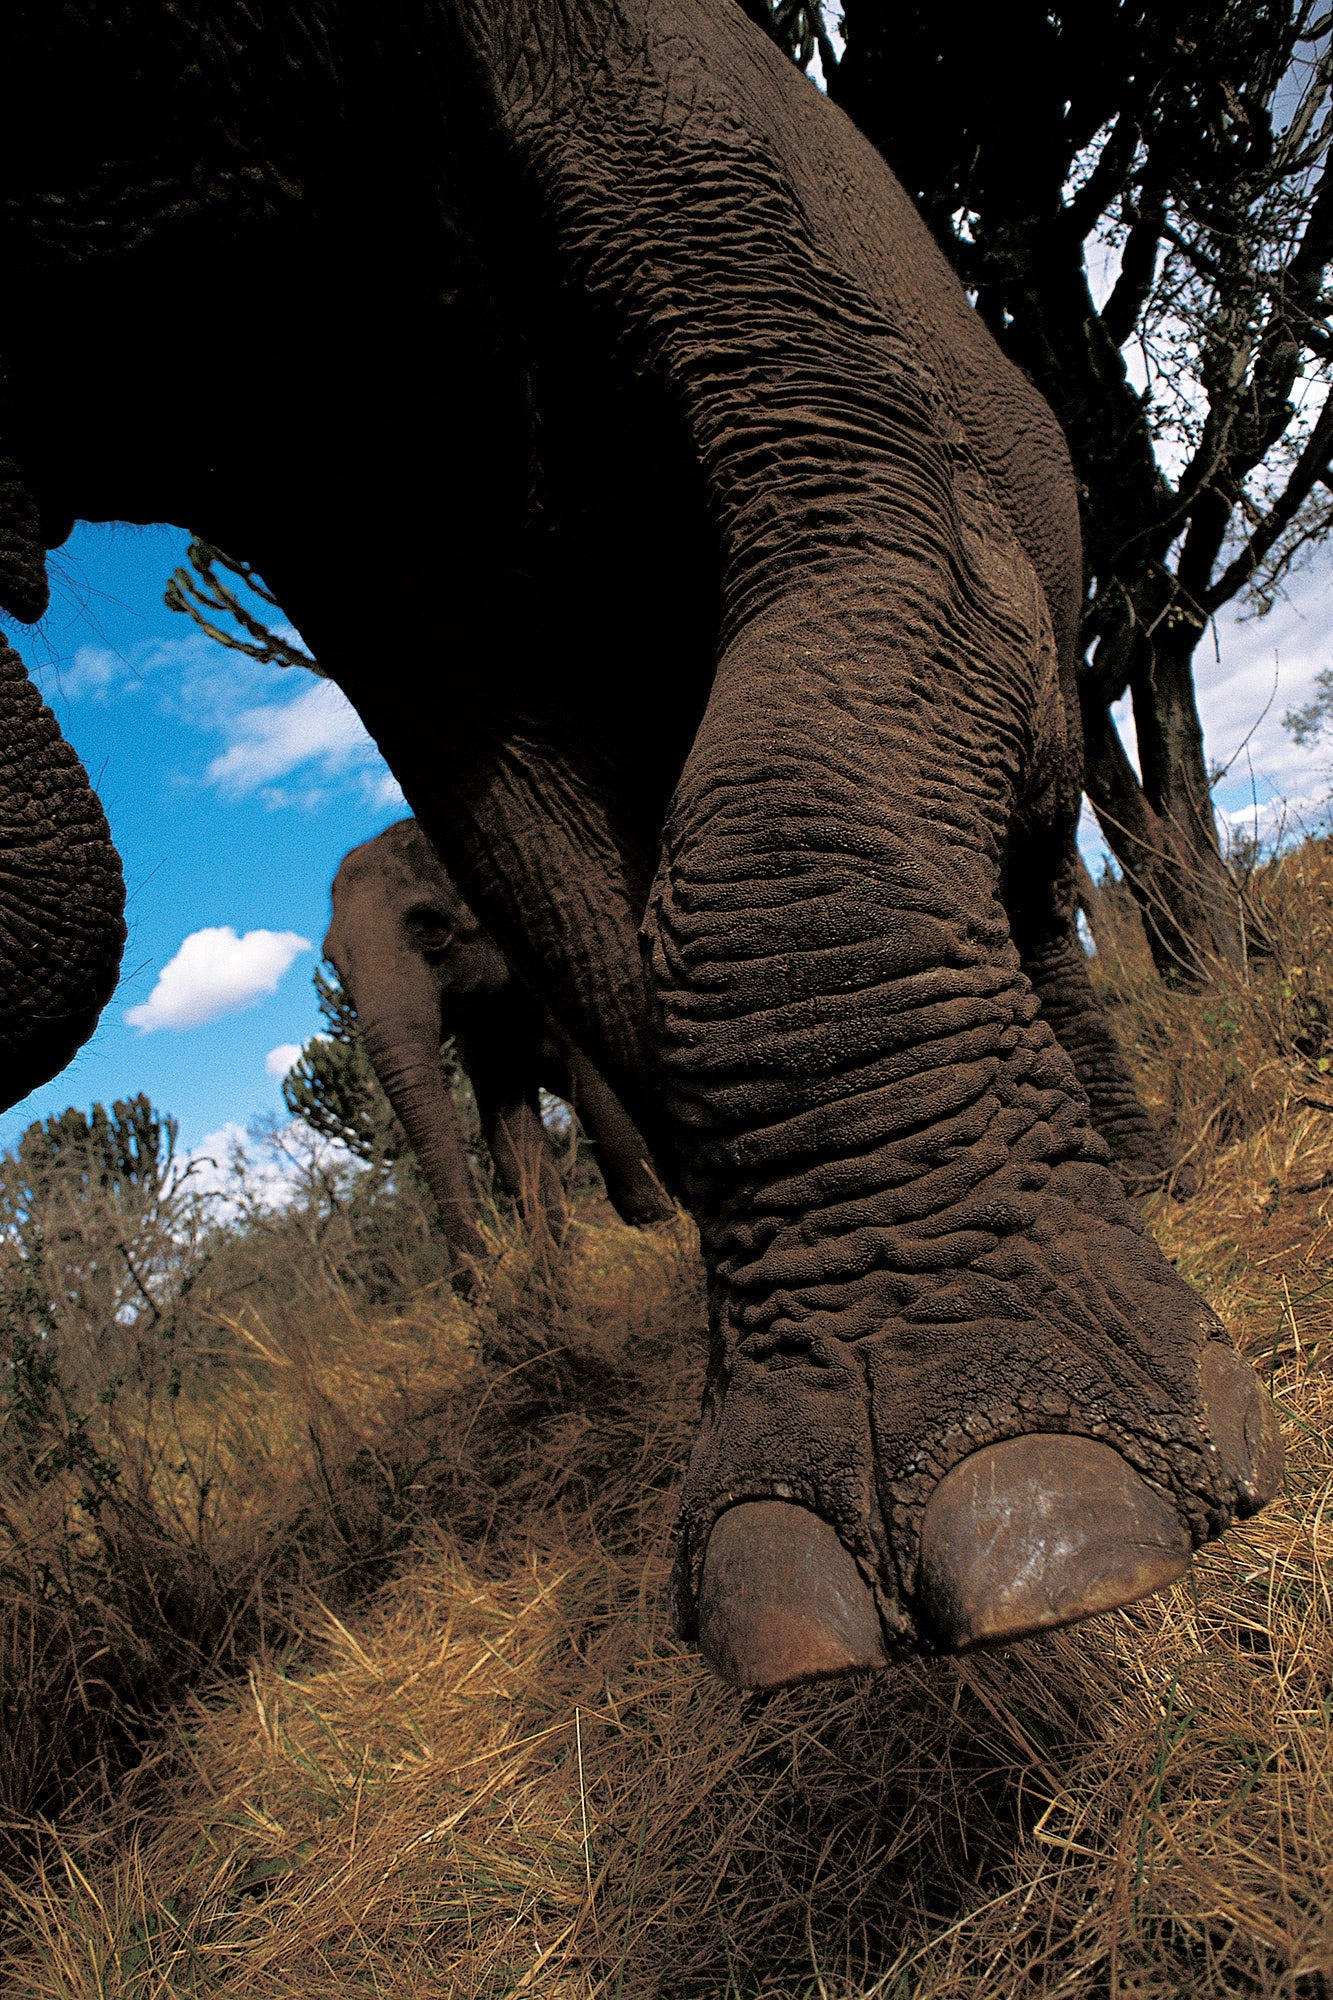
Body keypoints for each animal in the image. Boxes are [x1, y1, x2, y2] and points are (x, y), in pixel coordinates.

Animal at [325, 816, 673, 1258]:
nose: (485, 1262)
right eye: (332, 963)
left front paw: (664, 1239)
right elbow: (510, 1135)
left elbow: (602, 1095)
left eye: (432, 931)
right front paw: (556, 1263)